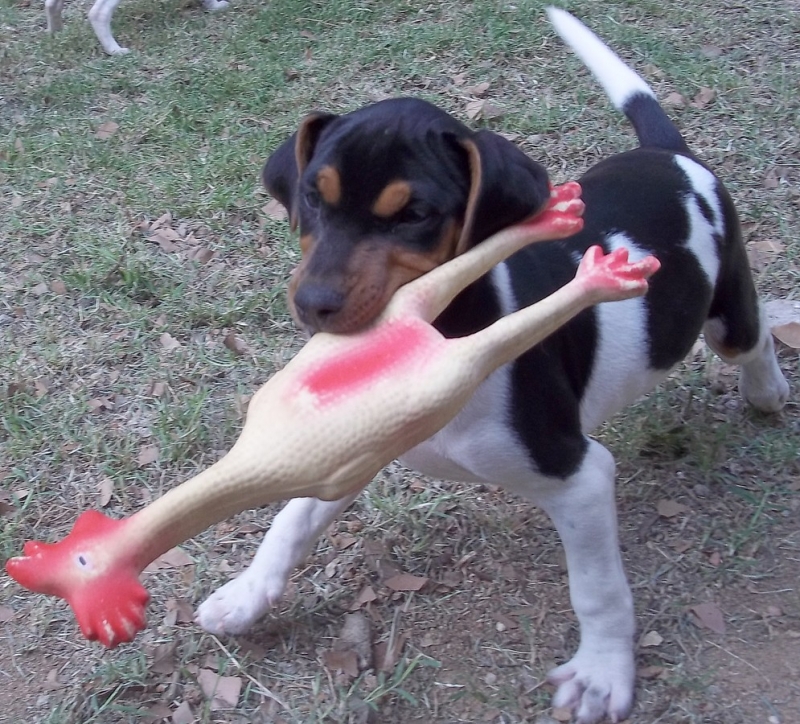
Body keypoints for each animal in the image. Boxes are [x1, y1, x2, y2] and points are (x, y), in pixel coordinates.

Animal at [198, 8, 788, 720]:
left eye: (416, 214)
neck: (444, 332)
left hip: (725, 314)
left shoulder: (577, 475)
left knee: (754, 337)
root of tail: (672, 155)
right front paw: (246, 593)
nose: (313, 304)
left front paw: (602, 673)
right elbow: (291, 519)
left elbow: (597, 589)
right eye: (314, 197)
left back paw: (767, 391)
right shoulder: (348, 451)